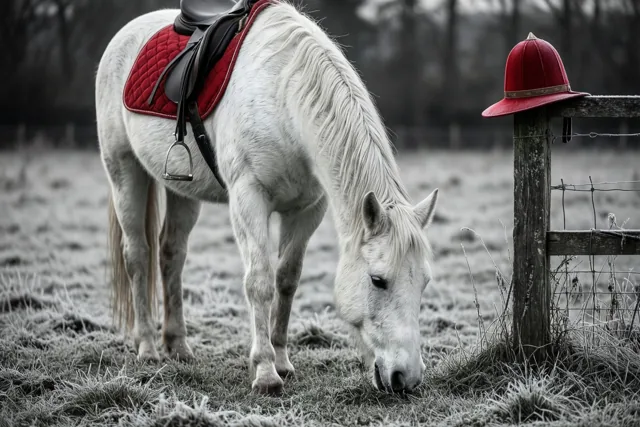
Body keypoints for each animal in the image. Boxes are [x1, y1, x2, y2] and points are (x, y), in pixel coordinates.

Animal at [96, 1, 439, 395]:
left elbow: (286, 280)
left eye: (424, 282)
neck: (284, 97)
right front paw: (264, 371)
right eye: (378, 280)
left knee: (171, 255)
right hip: (124, 171)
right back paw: (148, 347)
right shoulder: (249, 199)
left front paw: (283, 360)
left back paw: (177, 345)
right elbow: (259, 281)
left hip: (181, 190)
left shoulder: (307, 209)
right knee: (138, 255)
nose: (406, 377)